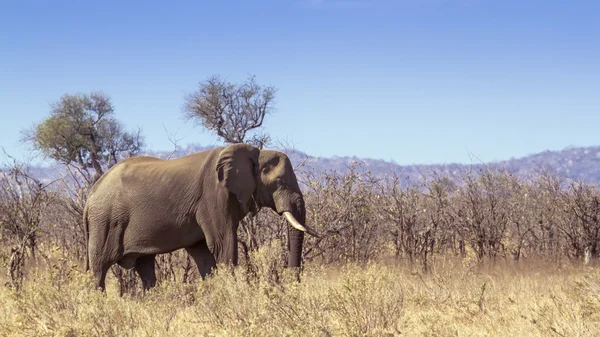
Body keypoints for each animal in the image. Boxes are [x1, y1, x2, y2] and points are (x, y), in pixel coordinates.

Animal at [83, 143, 324, 290]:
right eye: (280, 182)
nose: (293, 284)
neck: (253, 152)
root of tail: (90, 195)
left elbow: (204, 254)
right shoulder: (213, 196)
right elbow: (223, 244)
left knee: (145, 268)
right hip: (105, 221)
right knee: (99, 268)